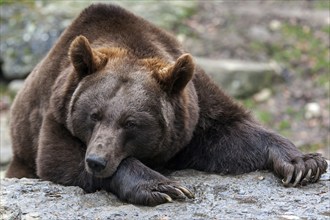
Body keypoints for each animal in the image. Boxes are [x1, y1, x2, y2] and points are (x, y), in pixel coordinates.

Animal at [5, 3, 328, 206]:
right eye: (93, 115)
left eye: (130, 122)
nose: (96, 160)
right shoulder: (58, 110)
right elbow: (58, 157)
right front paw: (162, 186)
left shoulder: (193, 111)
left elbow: (233, 133)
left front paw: (304, 163)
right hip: (21, 158)